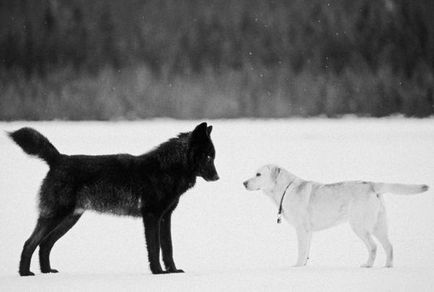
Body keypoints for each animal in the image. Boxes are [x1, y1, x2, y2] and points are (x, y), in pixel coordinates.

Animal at [9, 122, 220, 276]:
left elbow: (168, 247)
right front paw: (158, 272)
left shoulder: (165, 217)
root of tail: (59, 159)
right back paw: (25, 273)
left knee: (44, 244)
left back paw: (47, 272)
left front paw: (173, 271)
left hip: (69, 219)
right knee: (30, 243)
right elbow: (154, 248)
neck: (166, 170)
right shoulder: (151, 216)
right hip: (56, 216)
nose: (218, 177)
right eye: (209, 157)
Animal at [242, 164, 428, 266]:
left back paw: (367, 265)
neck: (285, 189)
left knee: (374, 247)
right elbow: (306, 251)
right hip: (379, 225)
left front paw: (296, 267)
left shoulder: (301, 229)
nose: (243, 182)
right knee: (389, 246)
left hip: (359, 226)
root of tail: (372, 184)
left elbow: (301, 251)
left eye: (258, 174)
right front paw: (303, 267)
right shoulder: (308, 232)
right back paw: (387, 267)